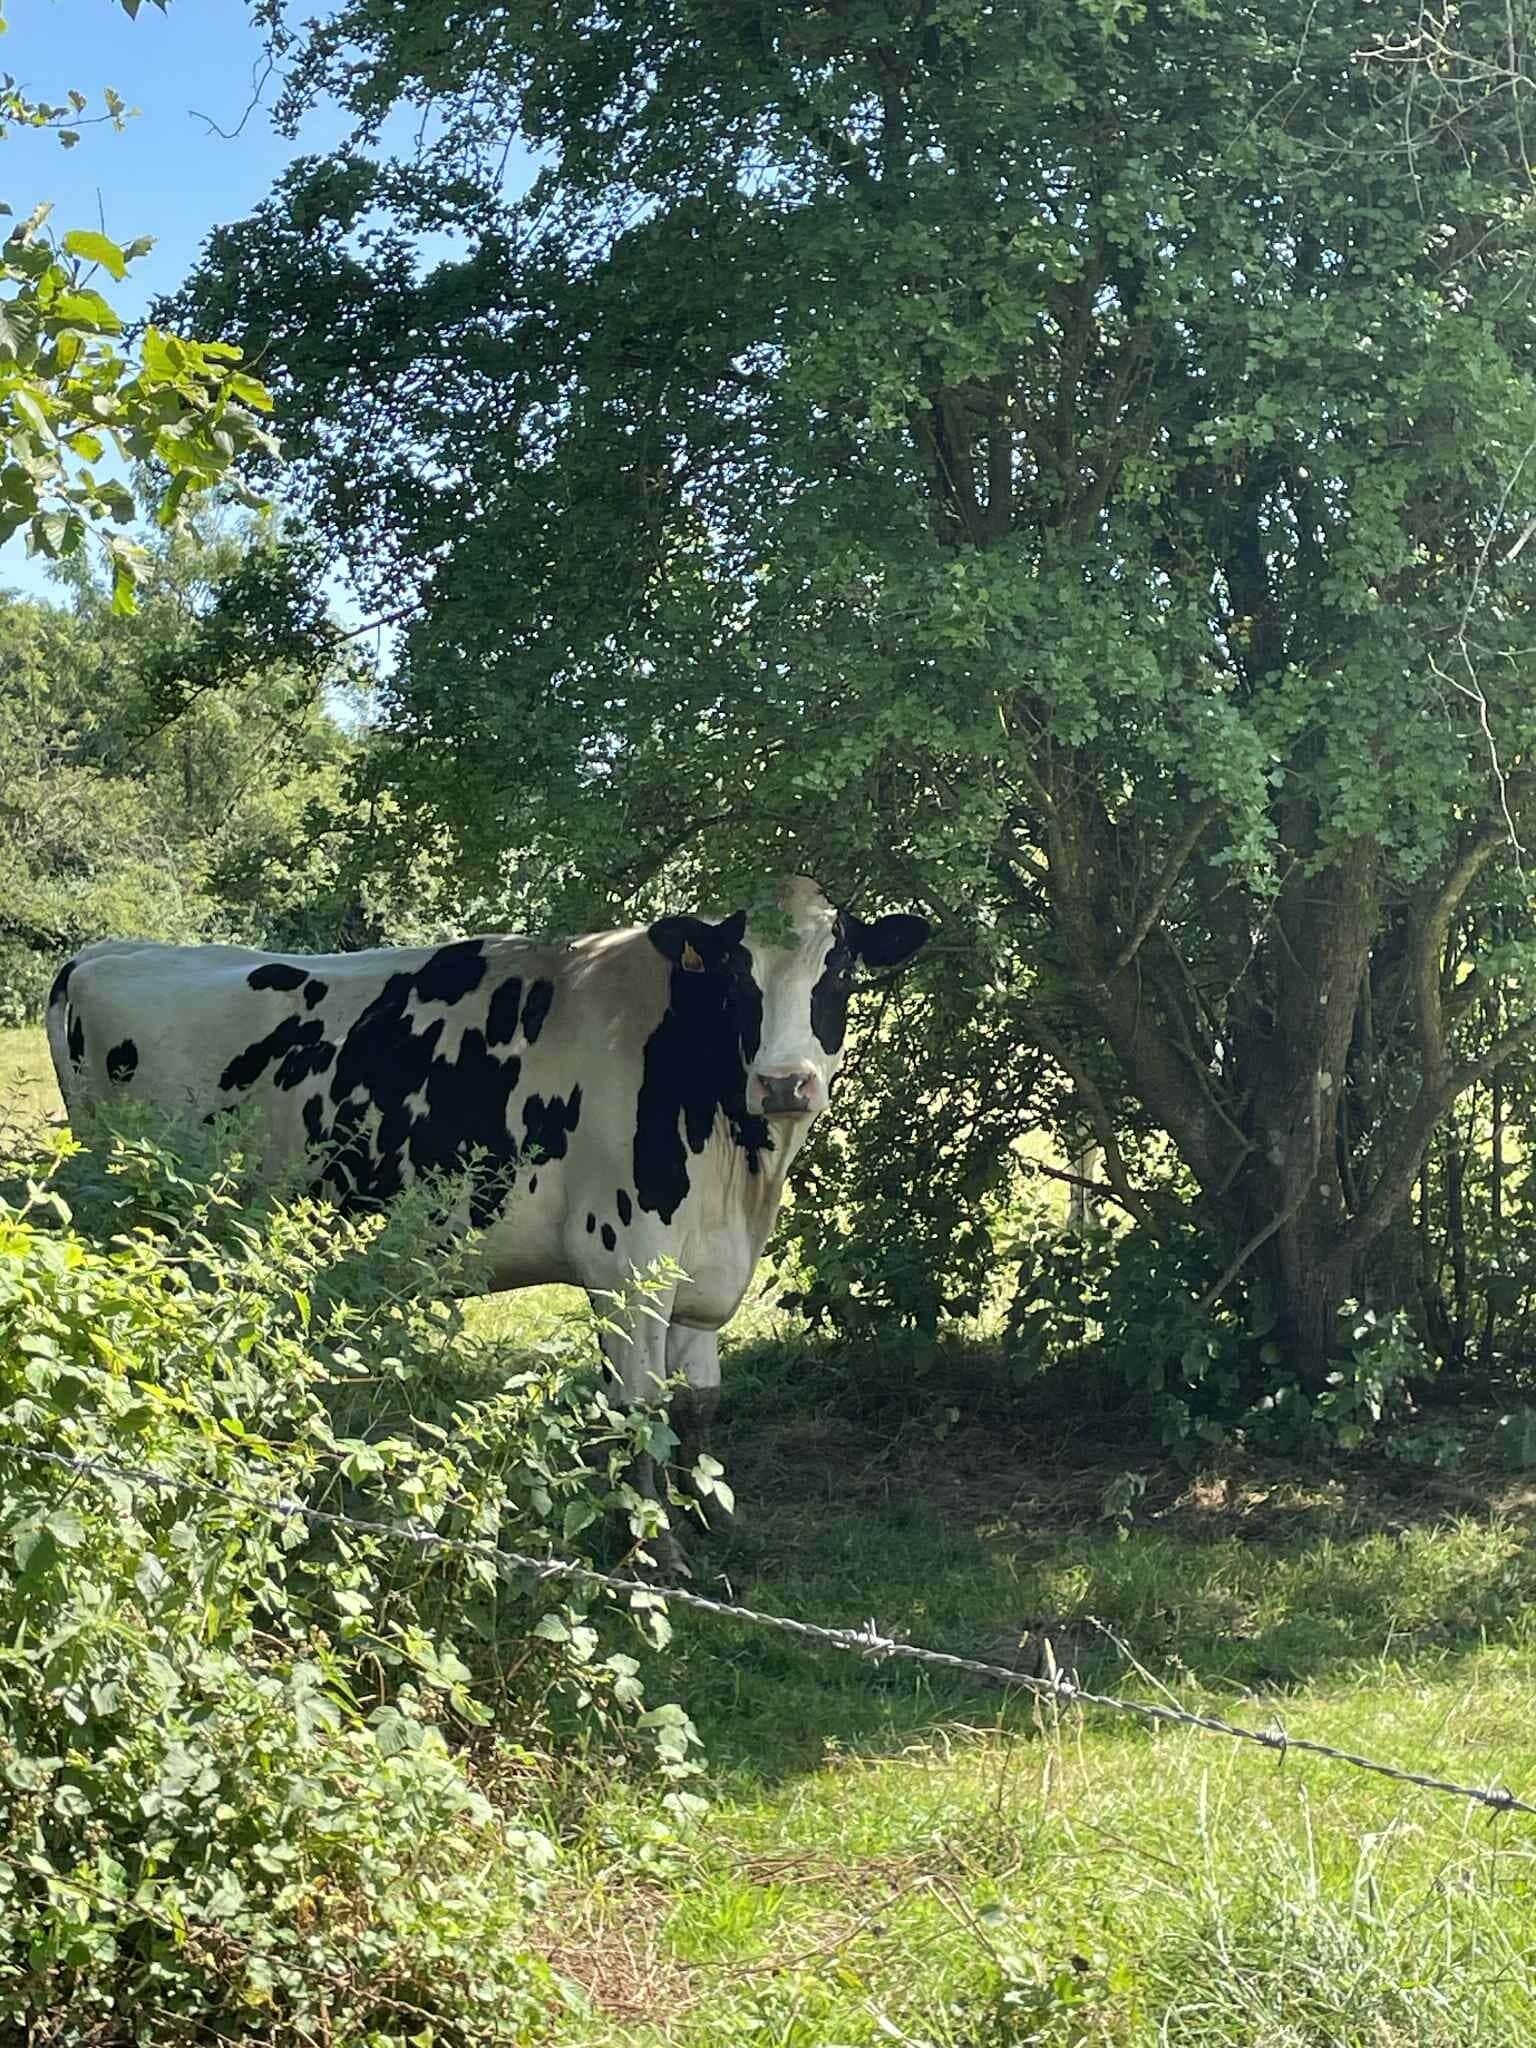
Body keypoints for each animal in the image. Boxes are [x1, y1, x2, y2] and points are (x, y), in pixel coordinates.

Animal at [46, 877, 930, 1562]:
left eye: (840, 969)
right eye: (736, 982)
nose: (785, 1083)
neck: (737, 1171)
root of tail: (105, 952)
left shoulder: (704, 1276)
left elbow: (697, 1406)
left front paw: (708, 1520)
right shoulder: (625, 1264)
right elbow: (637, 1407)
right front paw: (651, 1549)